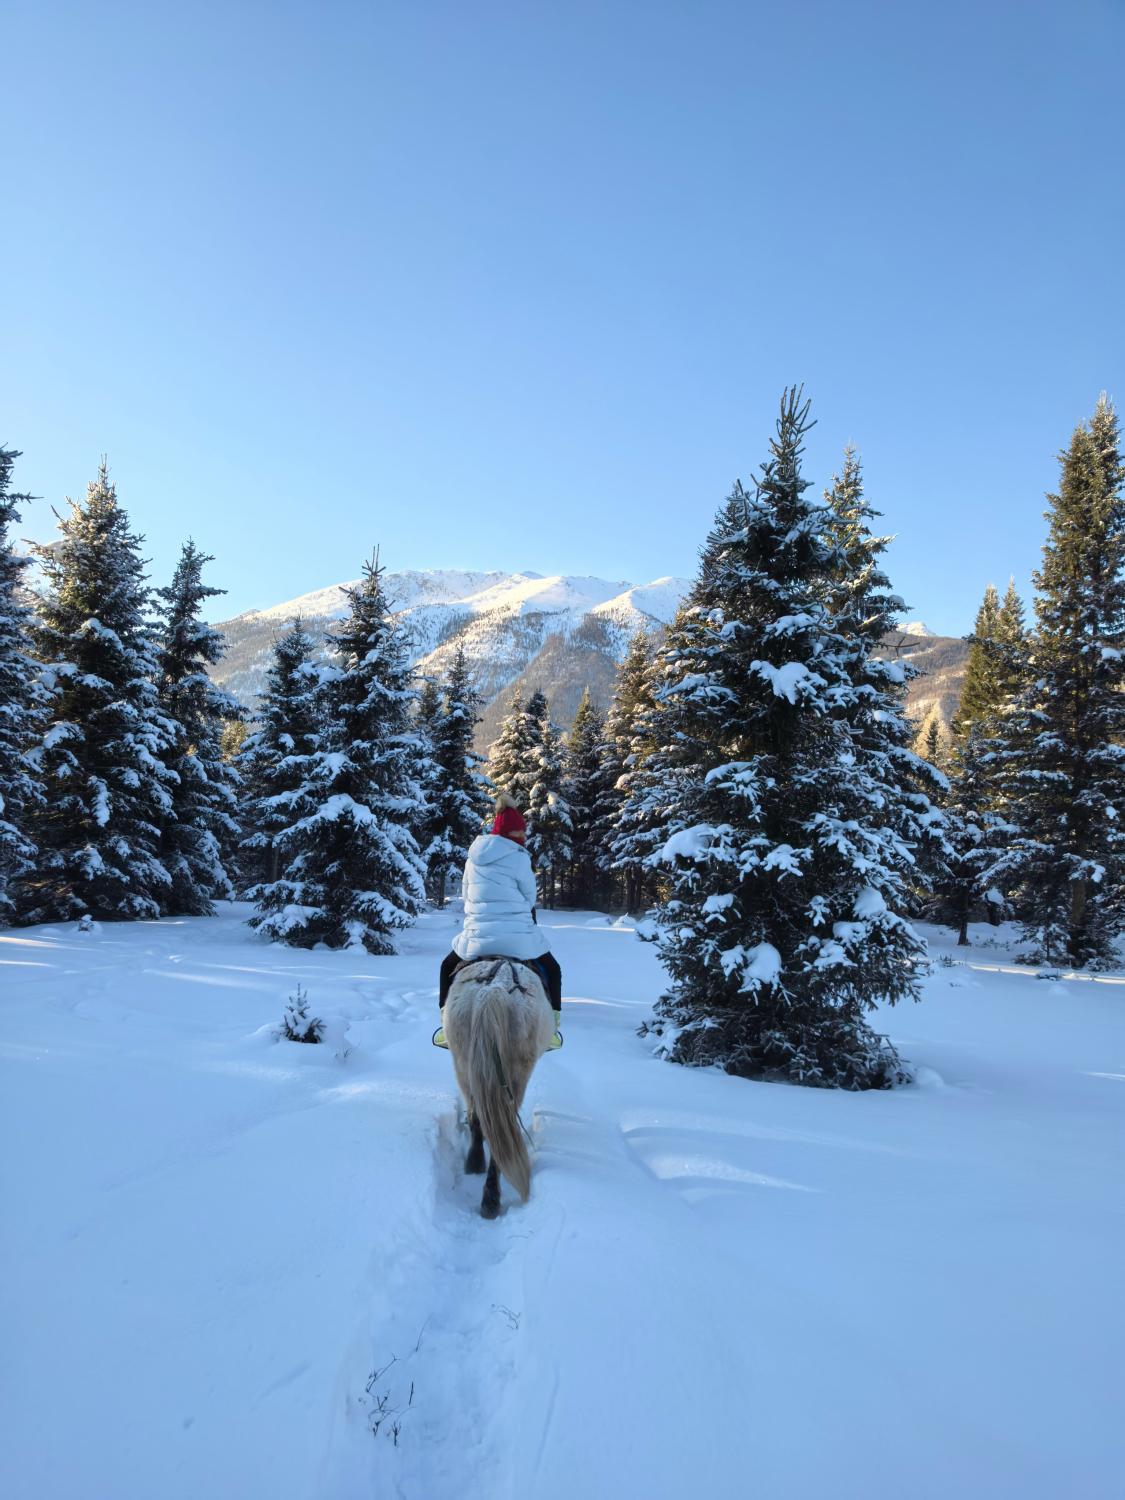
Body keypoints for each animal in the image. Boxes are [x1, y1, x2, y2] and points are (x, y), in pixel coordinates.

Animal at [443, 957, 555, 1218]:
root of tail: (493, 989)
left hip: (464, 1064)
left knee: (480, 1120)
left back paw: (476, 1167)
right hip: (516, 1074)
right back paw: (490, 1199)